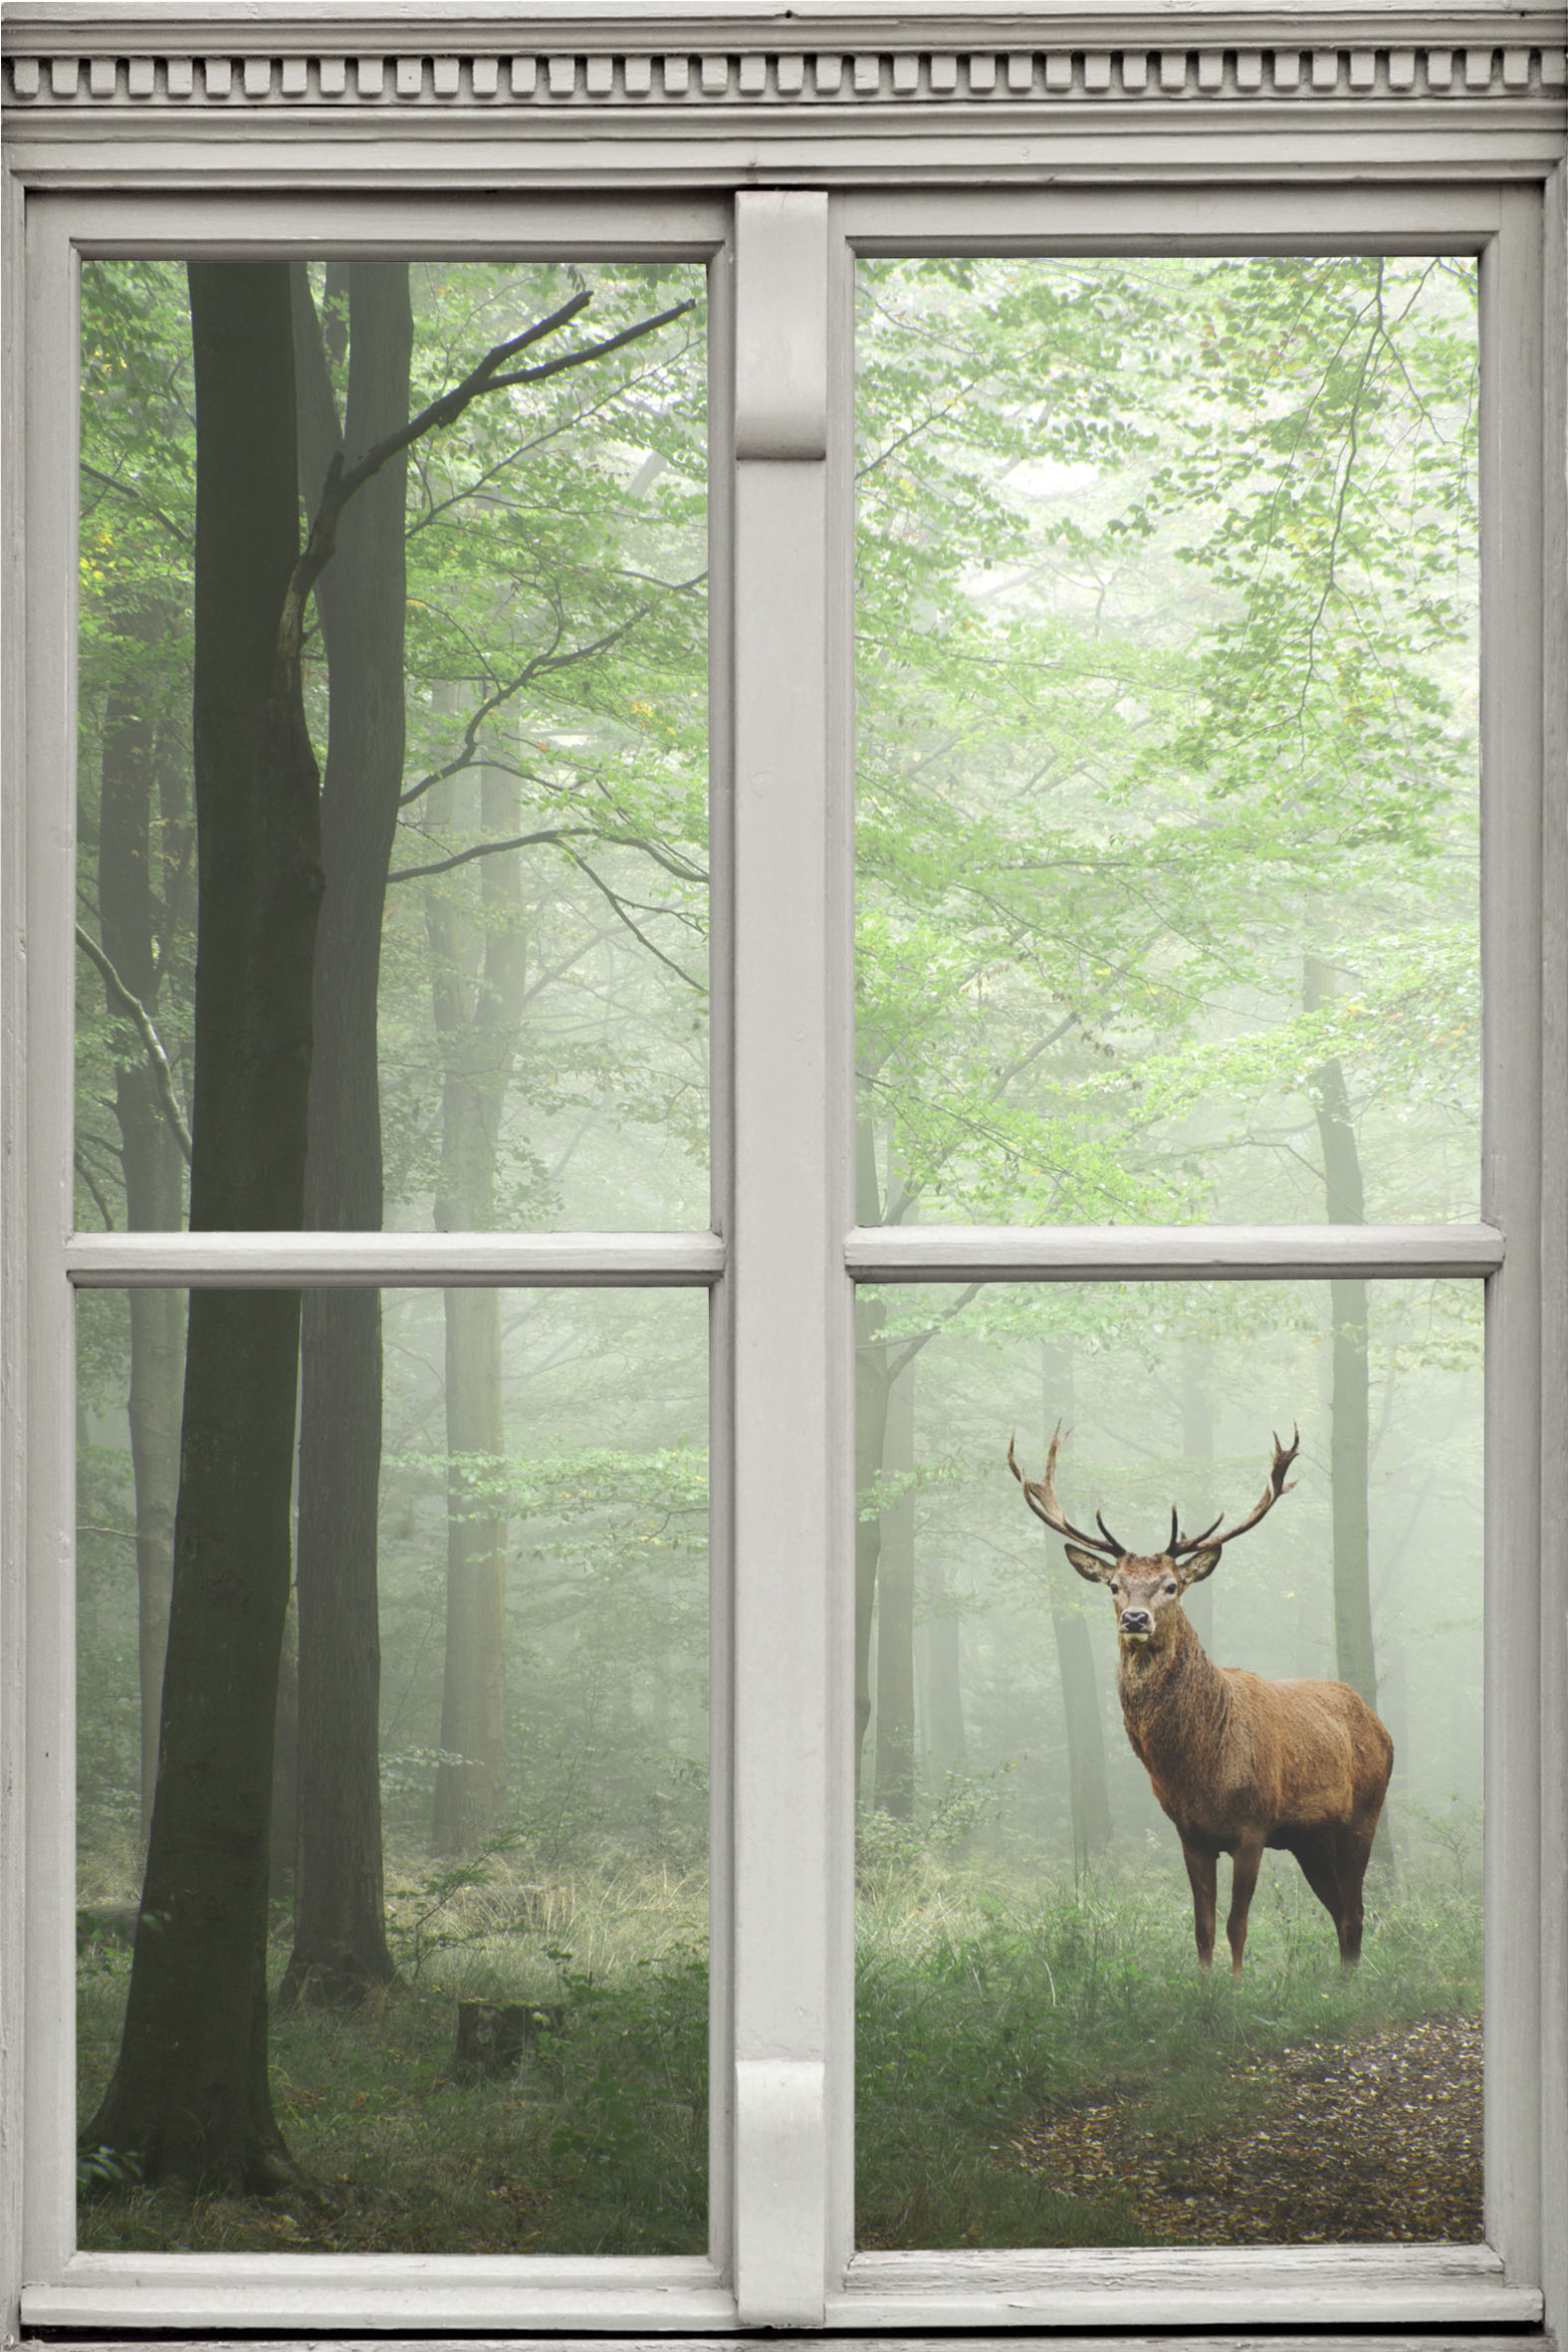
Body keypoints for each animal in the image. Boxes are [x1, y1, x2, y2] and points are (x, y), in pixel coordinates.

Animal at [1009, 1423, 1393, 1976]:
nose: (1135, 1619)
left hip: (1365, 1814)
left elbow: (1237, 1925)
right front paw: (1205, 1985)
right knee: (1341, 1912)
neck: (1201, 1766)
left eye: (1171, 1585)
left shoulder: (1253, 1826)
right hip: (1310, 1839)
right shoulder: (1190, 1834)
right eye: (1114, 1585)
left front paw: (1234, 1988)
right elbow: (1202, 1928)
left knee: (1357, 1912)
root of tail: (1379, 1725)